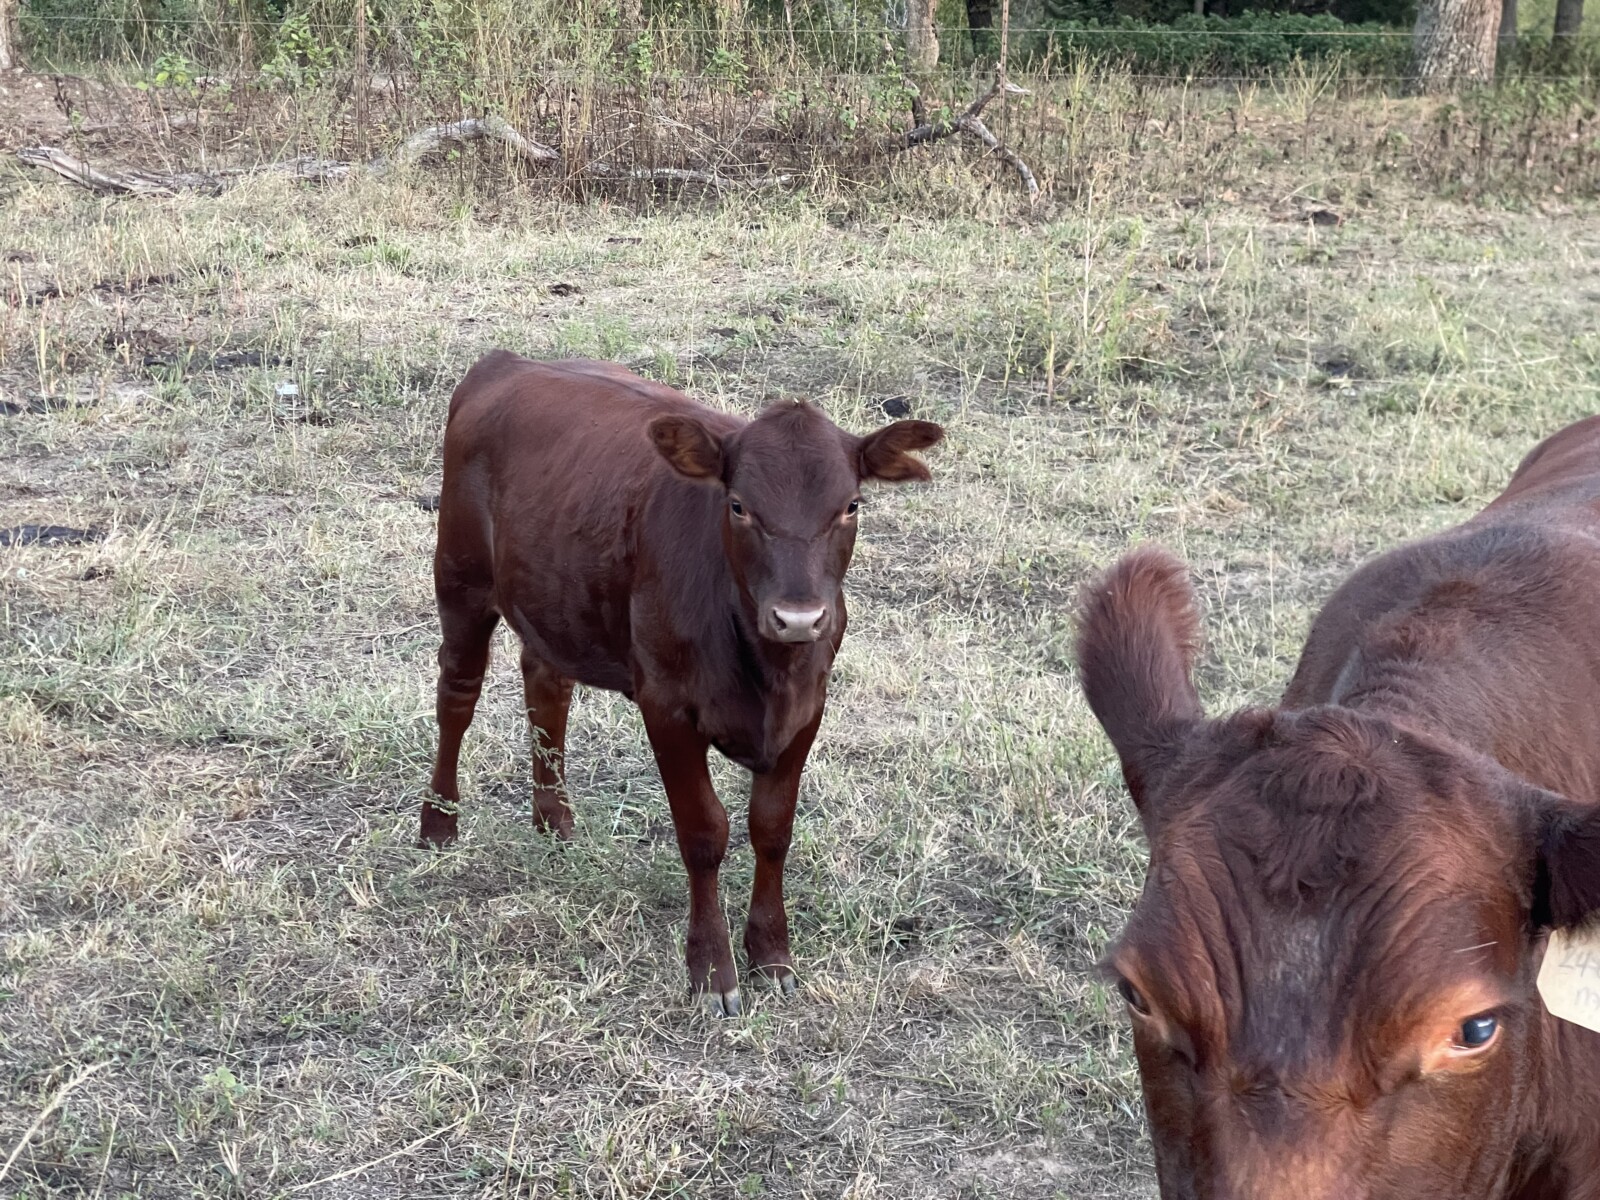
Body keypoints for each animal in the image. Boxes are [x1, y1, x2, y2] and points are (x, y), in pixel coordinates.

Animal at [424, 352, 943, 1017]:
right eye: (739, 506)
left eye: (852, 506)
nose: (799, 617)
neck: (767, 667)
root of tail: (506, 362)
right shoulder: (666, 706)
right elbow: (704, 832)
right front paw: (712, 970)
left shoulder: (809, 705)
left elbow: (772, 827)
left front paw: (772, 954)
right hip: (460, 578)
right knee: (457, 693)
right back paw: (438, 823)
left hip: (555, 596)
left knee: (546, 685)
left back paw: (555, 821)